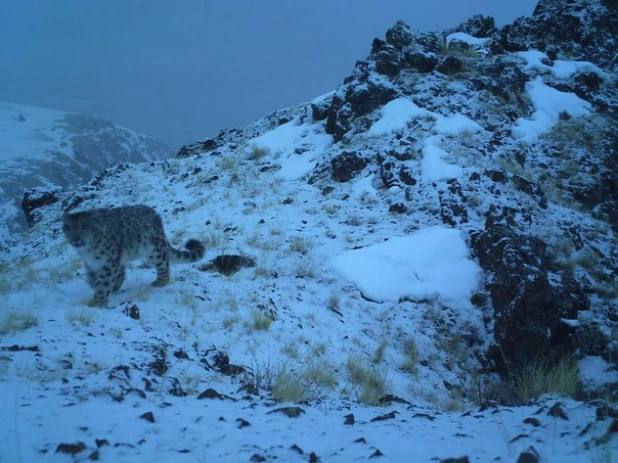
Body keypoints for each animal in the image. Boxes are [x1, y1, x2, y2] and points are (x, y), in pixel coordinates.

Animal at [64, 205, 206, 306]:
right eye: (68, 228)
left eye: (85, 226)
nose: (76, 239)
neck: (88, 252)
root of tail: (156, 216)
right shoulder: (91, 264)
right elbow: (93, 279)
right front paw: (95, 286)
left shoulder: (109, 263)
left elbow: (104, 283)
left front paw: (97, 302)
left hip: (154, 250)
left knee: (163, 263)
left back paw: (160, 282)